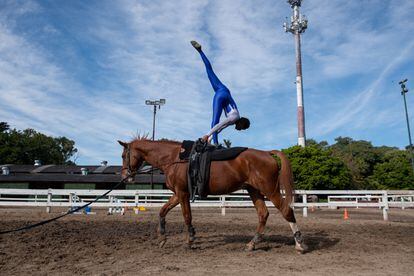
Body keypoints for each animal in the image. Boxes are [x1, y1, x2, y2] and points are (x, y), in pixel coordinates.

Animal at [117, 137, 308, 253]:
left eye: (123, 155)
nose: (125, 175)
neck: (174, 158)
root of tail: (266, 153)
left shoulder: (183, 193)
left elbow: (187, 216)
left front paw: (190, 240)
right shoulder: (177, 194)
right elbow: (162, 211)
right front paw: (163, 237)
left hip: (269, 190)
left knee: (286, 211)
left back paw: (299, 244)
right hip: (253, 190)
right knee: (263, 214)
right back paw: (252, 244)